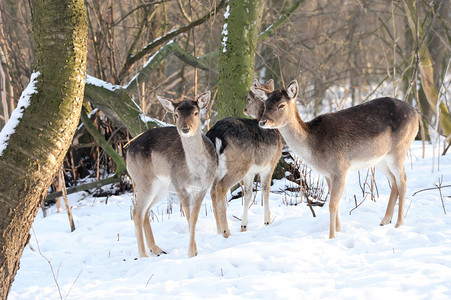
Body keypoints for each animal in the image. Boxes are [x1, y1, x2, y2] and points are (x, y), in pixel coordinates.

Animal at [126, 92, 218, 258]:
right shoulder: (180, 185)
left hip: (161, 187)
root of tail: (127, 149)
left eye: (196, 112)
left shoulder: (203, 187)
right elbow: (188, 217)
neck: (196, 172)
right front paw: (191, 253)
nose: (185, 129)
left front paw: (195, 252)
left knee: (146, 211)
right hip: (143, 181)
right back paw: (143, 255)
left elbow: (194, 218)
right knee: (137, 212)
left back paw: (157, 249)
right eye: (176, 114)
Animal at [207, 79, 282, 234]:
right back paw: (226, 231)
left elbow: (248, 193)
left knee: (212, 190)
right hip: (238, 165)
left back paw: (219, 230)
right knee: (220, 188)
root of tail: (216, 133)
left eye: (248, 98)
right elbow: (265, 190)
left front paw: (244, 226)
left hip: (217, 167)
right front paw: (267, 221)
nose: (245, 109)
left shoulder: (251, 171)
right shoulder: (270, 164)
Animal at [254, 80, 420, 239]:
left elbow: (332, 204)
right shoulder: (328, 174)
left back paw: (399, 224)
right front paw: (339, 231)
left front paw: (332, 236)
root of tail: (416, 113)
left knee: (403, 179)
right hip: (380, 159)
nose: (262, 122)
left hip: (399, 149)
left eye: (281, 105)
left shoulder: (340, 168)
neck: (314, 147)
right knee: (394, 181)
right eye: (265, 104)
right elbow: (336, 203)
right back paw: (385, 221)